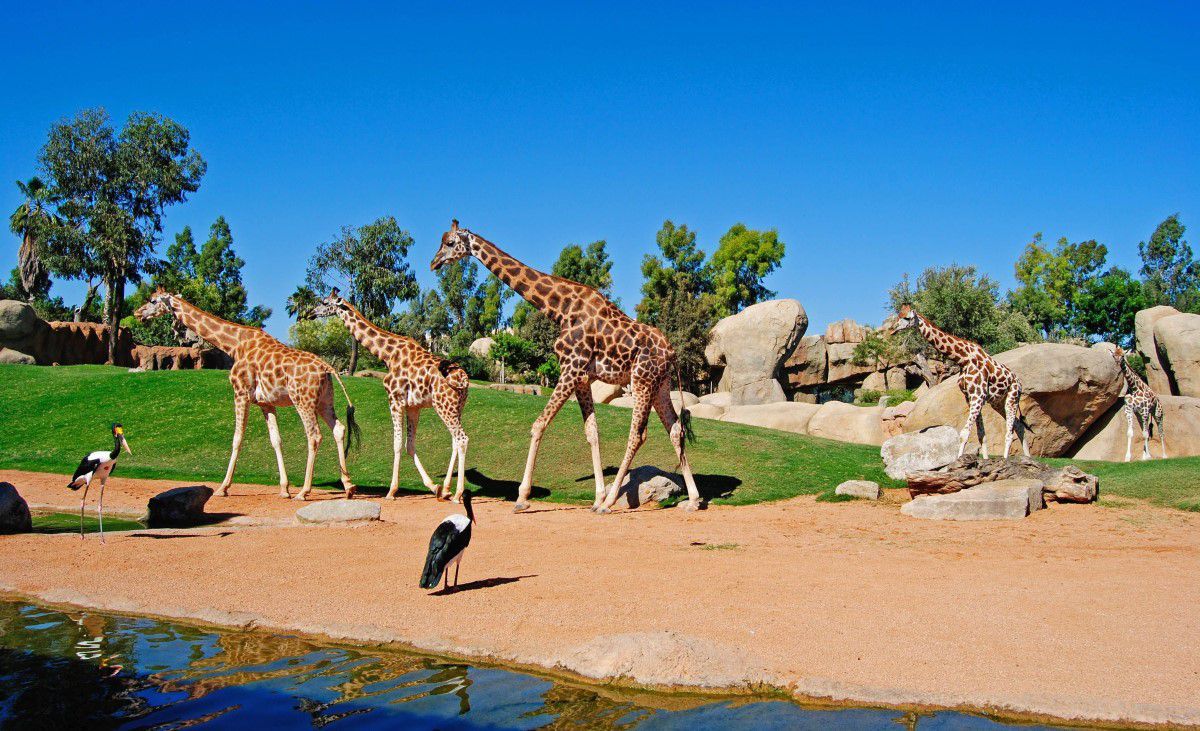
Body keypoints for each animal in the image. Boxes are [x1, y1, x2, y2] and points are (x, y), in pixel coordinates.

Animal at [133, 288, 355, 499]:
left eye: (153, 300)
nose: (137, 313)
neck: (234, 345)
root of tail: (327, 368)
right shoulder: (266, 403)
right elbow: (276, 440)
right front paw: (284, 489)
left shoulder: (240, 393)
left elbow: (237, 438)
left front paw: (223, 487)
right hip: (324, 402)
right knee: (338, 429)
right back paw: (348, 486)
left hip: (303, 401)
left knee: (314, 435)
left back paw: (304, 491)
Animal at [307, 290, 470, 501]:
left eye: (324, 302)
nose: (310, 314)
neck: (387, 354)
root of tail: (464, 380)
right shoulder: (413, 406)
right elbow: (409, 445)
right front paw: (435, 487)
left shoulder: (394, 400)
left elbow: (397, 443)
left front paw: (391, 491)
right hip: (456, 407)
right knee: (454, 441)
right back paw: (448, 489)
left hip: (445, 406)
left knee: (462, 439)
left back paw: (458, 494)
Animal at [429, 219, 700, 511]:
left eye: (450, 243)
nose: (433, 263)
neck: (560, 309)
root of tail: (671, 353)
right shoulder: (582, 377)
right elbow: (592, 432)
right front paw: (597, 496)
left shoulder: (570, 368)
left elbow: (539, 425)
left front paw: (522, 498)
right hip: (660, 384)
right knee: (675, 430)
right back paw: (693, 500)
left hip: (641, 380)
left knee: (638, 435)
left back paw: (611, 503)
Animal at [892, 304, 1032, 458]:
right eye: (898, 316)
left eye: (907, 318)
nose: (892, 329)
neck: (963, 358)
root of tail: (1020, 384)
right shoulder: (970, 397)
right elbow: (981, 435)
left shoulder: (978, 396)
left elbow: (964, 434)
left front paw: (959, 461)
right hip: (998, 402)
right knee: (1019, 426)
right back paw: (1028, 458)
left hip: (1012, 398)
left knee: (1010, 432)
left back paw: (1007, 459)